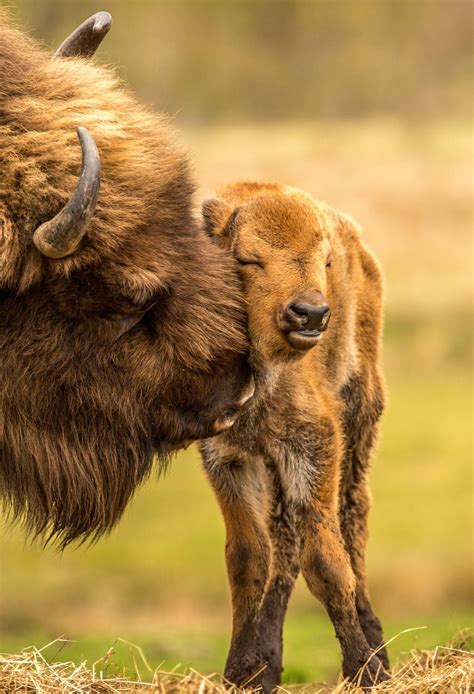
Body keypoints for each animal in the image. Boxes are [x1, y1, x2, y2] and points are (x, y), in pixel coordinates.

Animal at [200, 182, 388, 692]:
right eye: (248, 259)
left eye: (325, 261)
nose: (311, 314)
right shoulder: (229, 459)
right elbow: (248, 560)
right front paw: (240, 671)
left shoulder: (316, 447)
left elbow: (326, 560)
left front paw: (362, 670)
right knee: (283, 547)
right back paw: (268, 663)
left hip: (360, 422)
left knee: (352, 521)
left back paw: (379, 652)